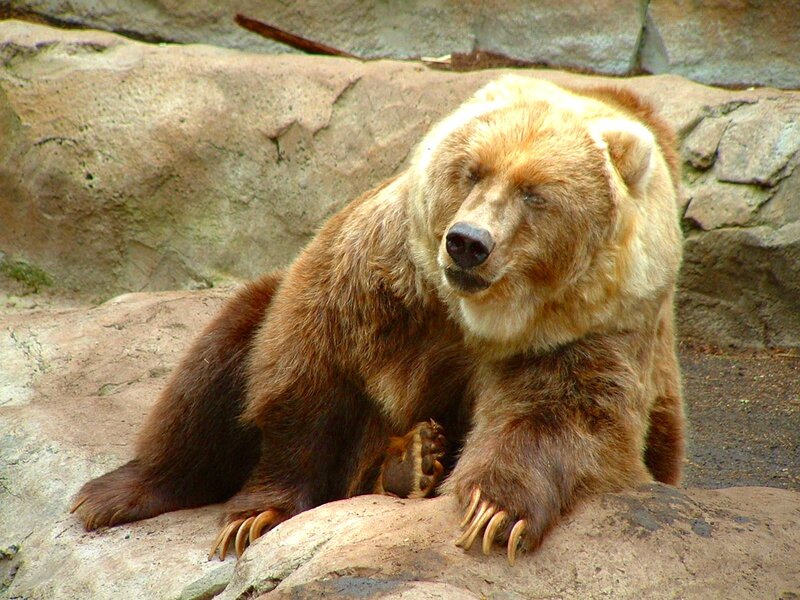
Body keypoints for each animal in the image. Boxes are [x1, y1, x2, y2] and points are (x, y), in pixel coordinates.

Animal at [71, 75, 684, 566]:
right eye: (472, 171)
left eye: (535, 194)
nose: (468, 243)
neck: (477, 317)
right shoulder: (386, 271)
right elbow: (306, 369)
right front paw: (255, 516)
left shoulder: (592, 327)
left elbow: (560, 413)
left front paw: (493, 513)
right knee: (219, 358)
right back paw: (117, 493)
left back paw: (411, 462)